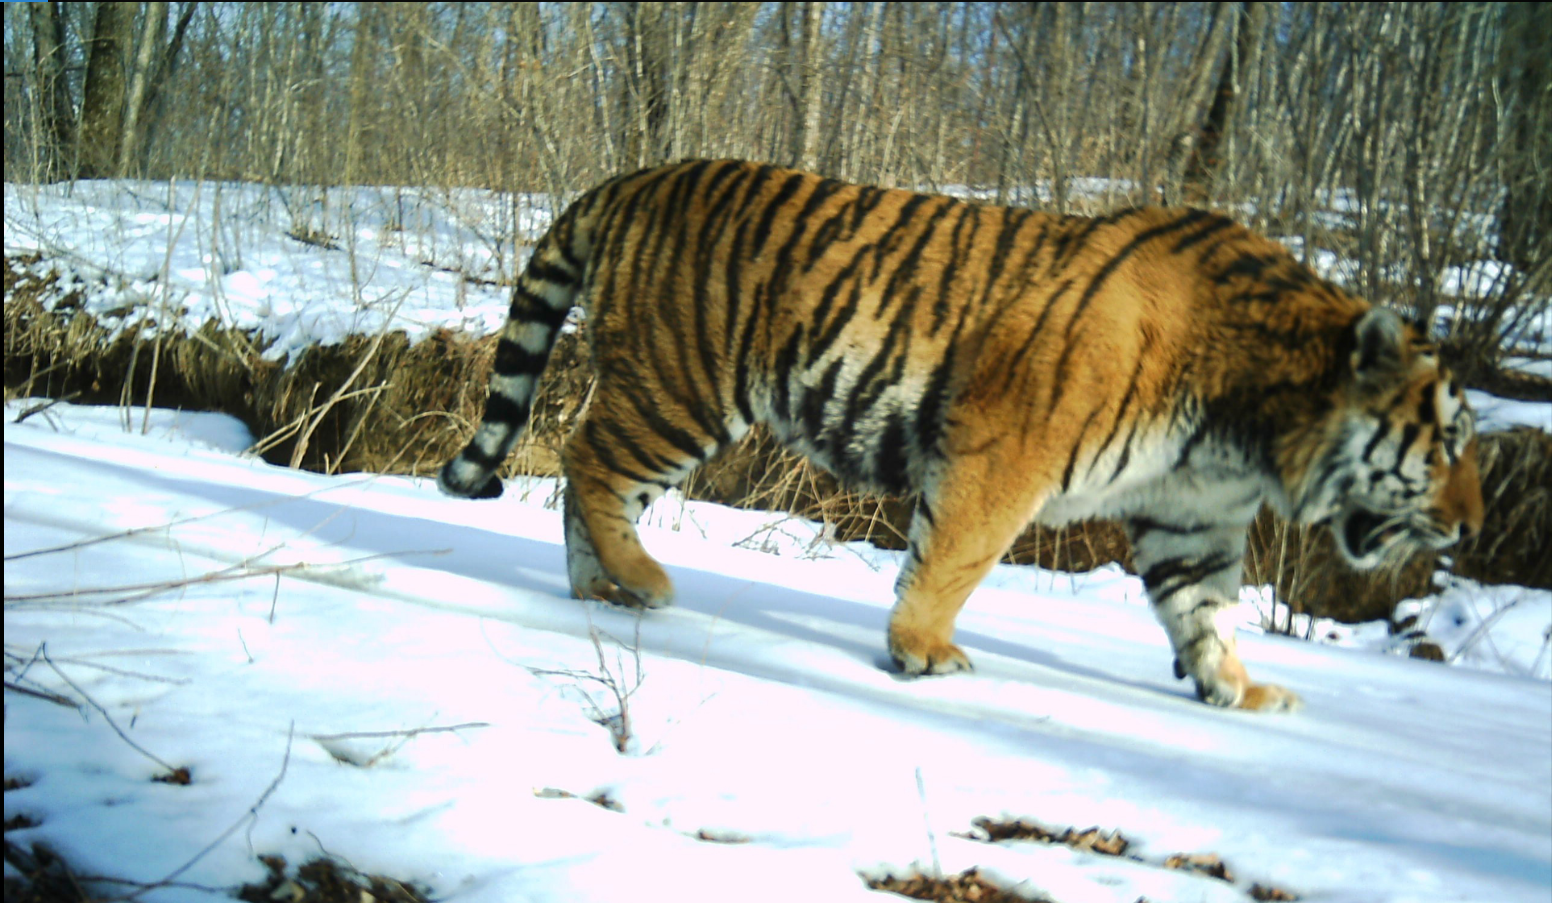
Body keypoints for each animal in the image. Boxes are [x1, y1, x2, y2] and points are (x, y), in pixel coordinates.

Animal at [434, 161, 1477, 713]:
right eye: (1450, 445)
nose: (1468, 527)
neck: (1252, 427)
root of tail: (637, 174)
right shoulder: (1005, 446)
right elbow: (958, 554)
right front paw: (924, 648)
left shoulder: (1192, 515)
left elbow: (1205, 611)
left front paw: (1240, 690)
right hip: (682, 388)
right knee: (587, 460)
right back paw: (640, 580)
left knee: (586, 476)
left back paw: (600, 591)